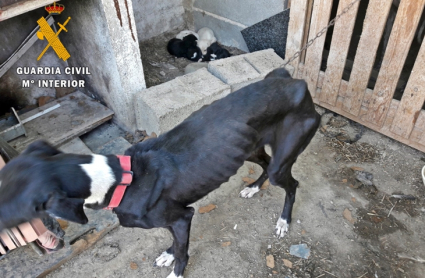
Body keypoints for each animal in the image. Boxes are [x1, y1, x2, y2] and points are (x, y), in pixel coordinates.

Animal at [0, 68, 318, 278]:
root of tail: (297, 81)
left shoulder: (182, 217)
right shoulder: (176, 216)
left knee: (291, 184)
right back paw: (253, 187)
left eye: (21, 206)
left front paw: (175, 269)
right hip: (250, 149)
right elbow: (175, 243)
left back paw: (283, 221)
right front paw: (167, 253)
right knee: (265, 165)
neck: (119, 180)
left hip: (283, 159)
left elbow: (182, 250)